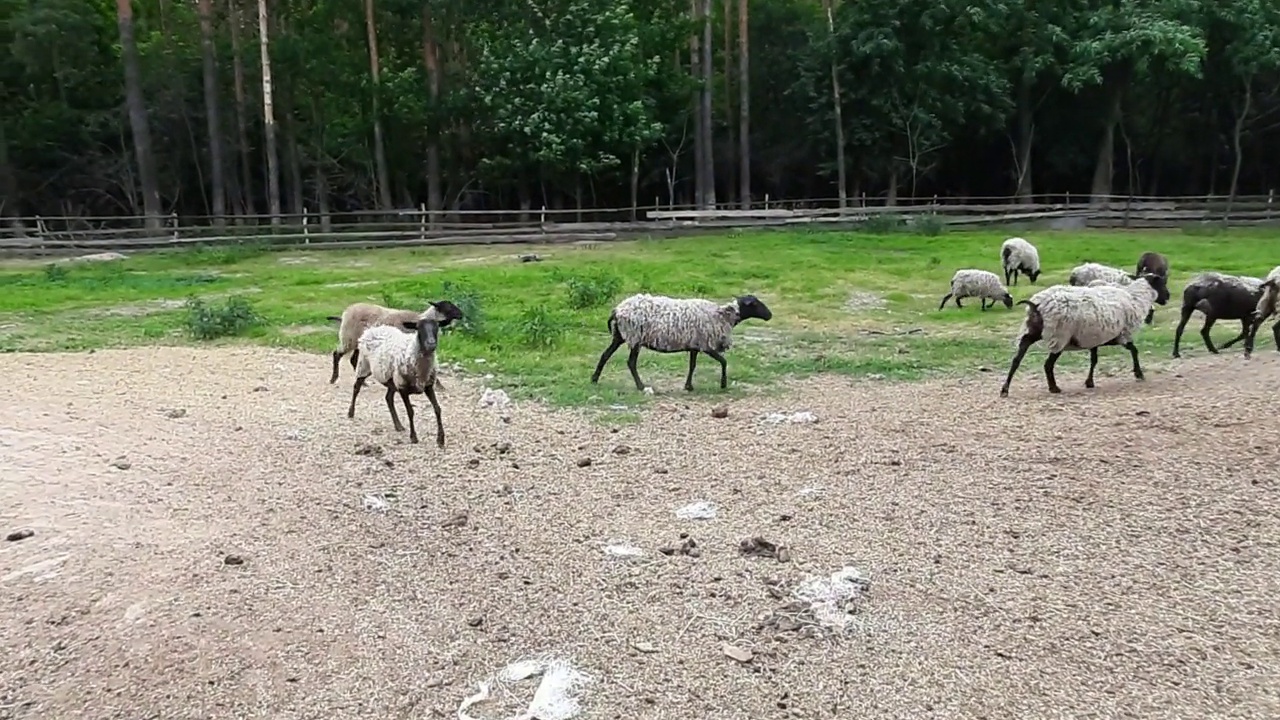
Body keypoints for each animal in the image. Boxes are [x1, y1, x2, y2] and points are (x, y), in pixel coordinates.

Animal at [325, 298, 465, 384]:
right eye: (448, 307)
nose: (461, 314)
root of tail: (345, 313)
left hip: (357, 341)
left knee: (353, 359)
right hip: (349, 337)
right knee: (337, 354)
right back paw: (333, 379)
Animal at [586, 292, 768, 392]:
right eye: (755, 304)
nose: (769, 315)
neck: (723, 316)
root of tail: (617, 310)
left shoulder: (695, 345)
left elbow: (692, 365)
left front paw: (689, 386)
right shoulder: (706, 345)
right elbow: (723, 361)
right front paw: (723, 384)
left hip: (620, 336)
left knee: (605, 355)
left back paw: (594, 380)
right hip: (634, 337)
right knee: (631, 363)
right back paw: (641, 386)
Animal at [998, 269, 1172, 394]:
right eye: (1162, 283)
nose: (1168, 297)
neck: (1136, 299)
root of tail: (1036, 304)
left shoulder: (1095, 338)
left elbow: (1094, 360)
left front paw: (1089, 382)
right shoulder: (1121, 335)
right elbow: (1134, 350)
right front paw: (1139, 374)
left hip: (1033, 331)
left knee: (1017, 358)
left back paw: (1005, 389)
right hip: (1059, 335)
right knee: (1047, 365)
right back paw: (1054, 388)